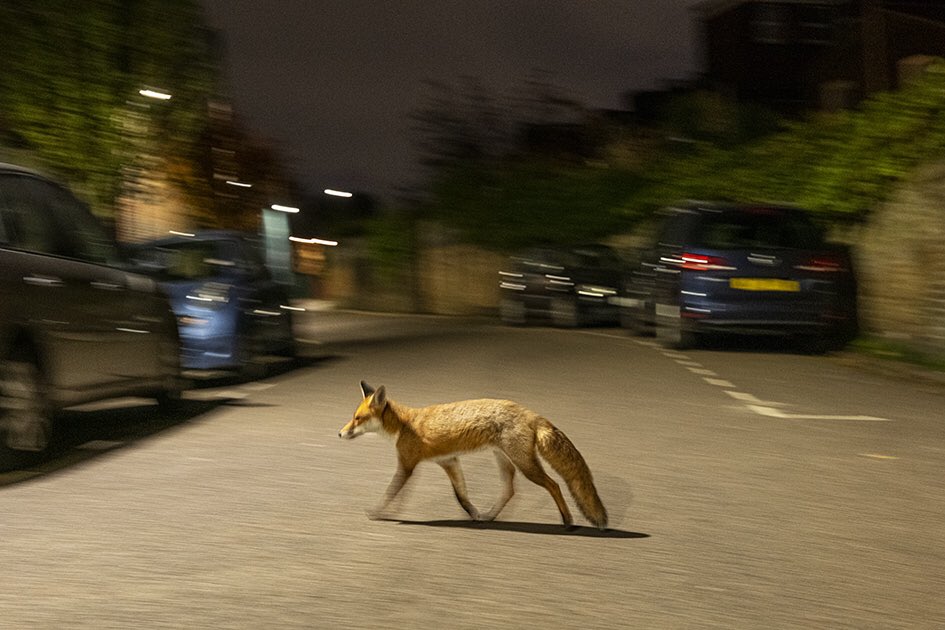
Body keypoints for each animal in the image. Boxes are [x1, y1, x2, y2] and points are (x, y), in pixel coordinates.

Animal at [338, 381, 608, 530]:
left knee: (554, 485)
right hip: (504, 460)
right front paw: (474, 514)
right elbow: (461, 496)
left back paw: (567, 520)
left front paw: (378, 512)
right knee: (510, 491)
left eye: (357, 419)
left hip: (526, 465)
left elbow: (390, 494)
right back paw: (489, 516)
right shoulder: (449, 461)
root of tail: (531, 413)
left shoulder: (407, 465)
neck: (405, 425)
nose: (339, 433)